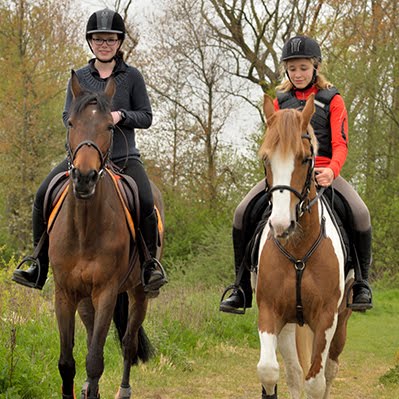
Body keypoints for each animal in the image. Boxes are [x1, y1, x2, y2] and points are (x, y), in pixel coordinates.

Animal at [48, 72, 162, 399]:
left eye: (110, 126)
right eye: (71, 123)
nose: (84, 178)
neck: (85, 228)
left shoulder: (108, 291)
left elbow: (95, 359)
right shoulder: (64, 293)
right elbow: (68, 361)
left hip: (138, 293)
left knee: (128, 342)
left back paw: (123, 390)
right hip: (86, 298)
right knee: (90, 336)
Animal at [256, 94, 354, 399]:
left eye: (306, 159)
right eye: (266, 158)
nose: (281, 225)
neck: (299, 250)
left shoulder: (325, 318)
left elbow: (316, 382)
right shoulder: (270, 310)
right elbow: (269, 371)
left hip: (342, 320)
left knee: (330, 370)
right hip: (289, 325)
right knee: (294, 372)